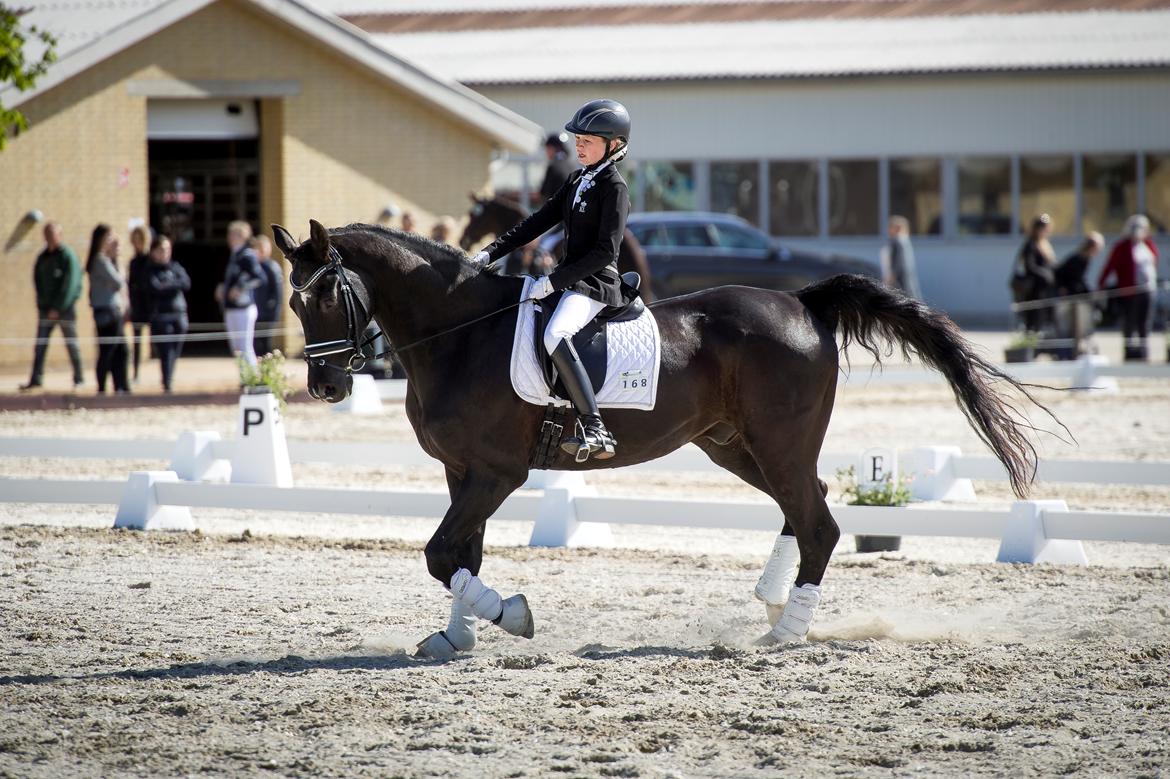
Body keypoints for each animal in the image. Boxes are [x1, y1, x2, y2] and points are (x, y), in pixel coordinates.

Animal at [276, 218, 1053, 655]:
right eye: (292, 299)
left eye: (324, 294)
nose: (326, 387)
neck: (460, 333)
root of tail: (802, 302)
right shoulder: (460, 471)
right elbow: (460, 553)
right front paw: (457, 636)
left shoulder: (497, 473)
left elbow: (441, 552)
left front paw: (512, 617)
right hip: (735, 444)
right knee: (806, 509)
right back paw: (773, 604)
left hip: (774, 442)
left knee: (820, 522)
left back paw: (785, 633)